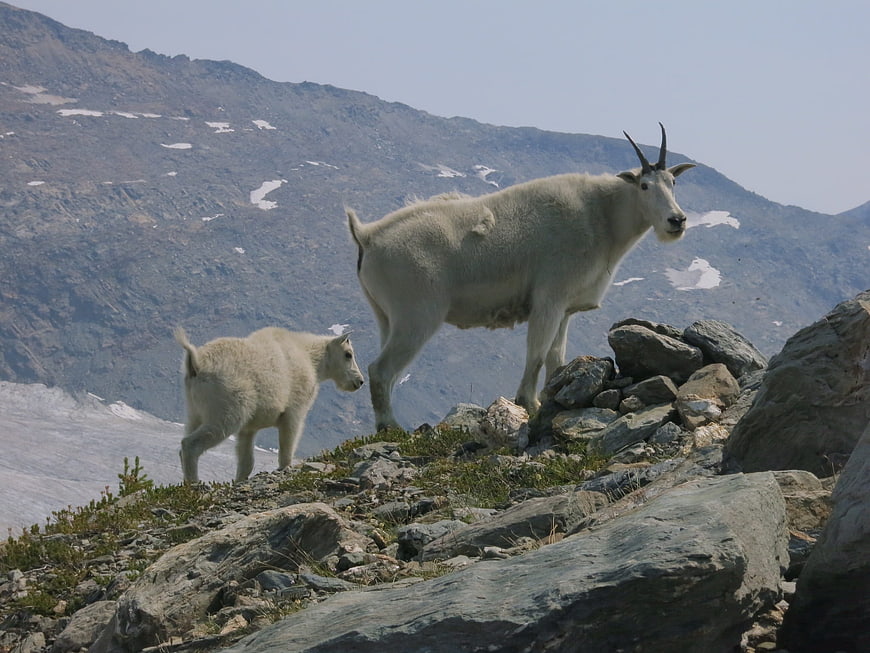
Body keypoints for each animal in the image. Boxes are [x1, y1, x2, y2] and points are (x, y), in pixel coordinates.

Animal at [174, 326, 364, 483]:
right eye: (348, 354)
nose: (359, 381)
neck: (311, 358)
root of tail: (196, 364)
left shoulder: (249, 428)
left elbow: (246, 460)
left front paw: (240, 480)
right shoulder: (294, 409)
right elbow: (288, 443)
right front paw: (285, 468)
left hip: (194, 408)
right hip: (226, 407)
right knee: (192, 443)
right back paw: (195, 485)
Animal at [347, 124, 695, 430]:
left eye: (672, 183)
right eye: (645, 185)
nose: (676, 220)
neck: (602, 215)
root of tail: (367, 236)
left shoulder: (565, 309)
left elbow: (556, 357)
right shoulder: (549, 300)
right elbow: (537, 354)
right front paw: (530, 403)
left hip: (387, 318)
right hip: (417, 317)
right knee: (380, 371)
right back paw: (391, 426)